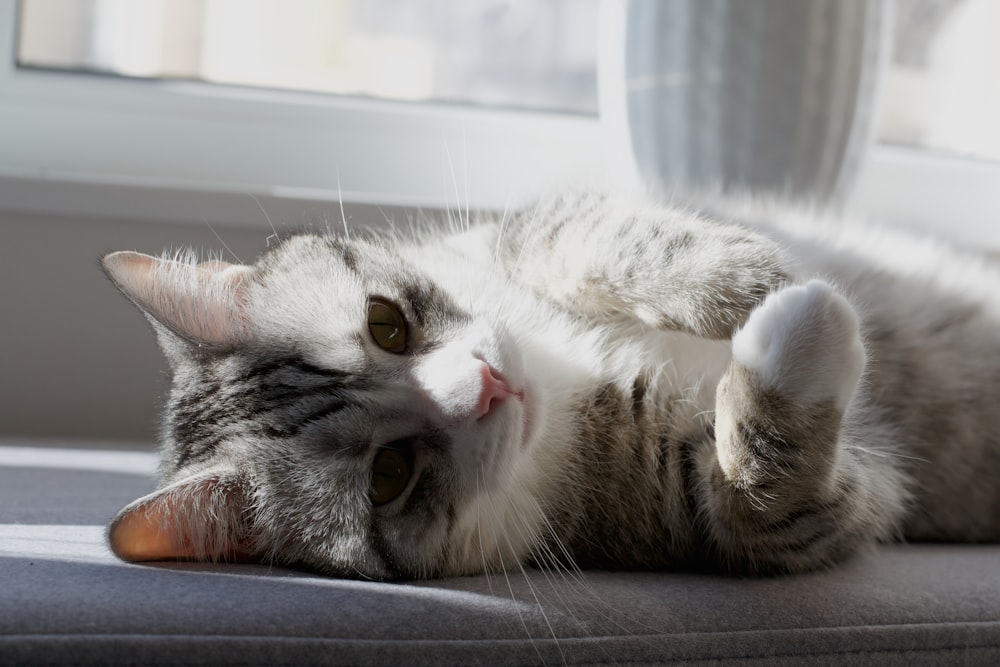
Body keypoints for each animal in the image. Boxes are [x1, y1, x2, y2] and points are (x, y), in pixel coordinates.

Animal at [99, 189, 1000, 580]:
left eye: (385, 323)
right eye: (389, 476)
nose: (491, 384)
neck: (566, 381)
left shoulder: (513, 240)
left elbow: (592, 236)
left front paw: (742, 277)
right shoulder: (719, 510)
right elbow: (765, 488)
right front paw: (802, 318)